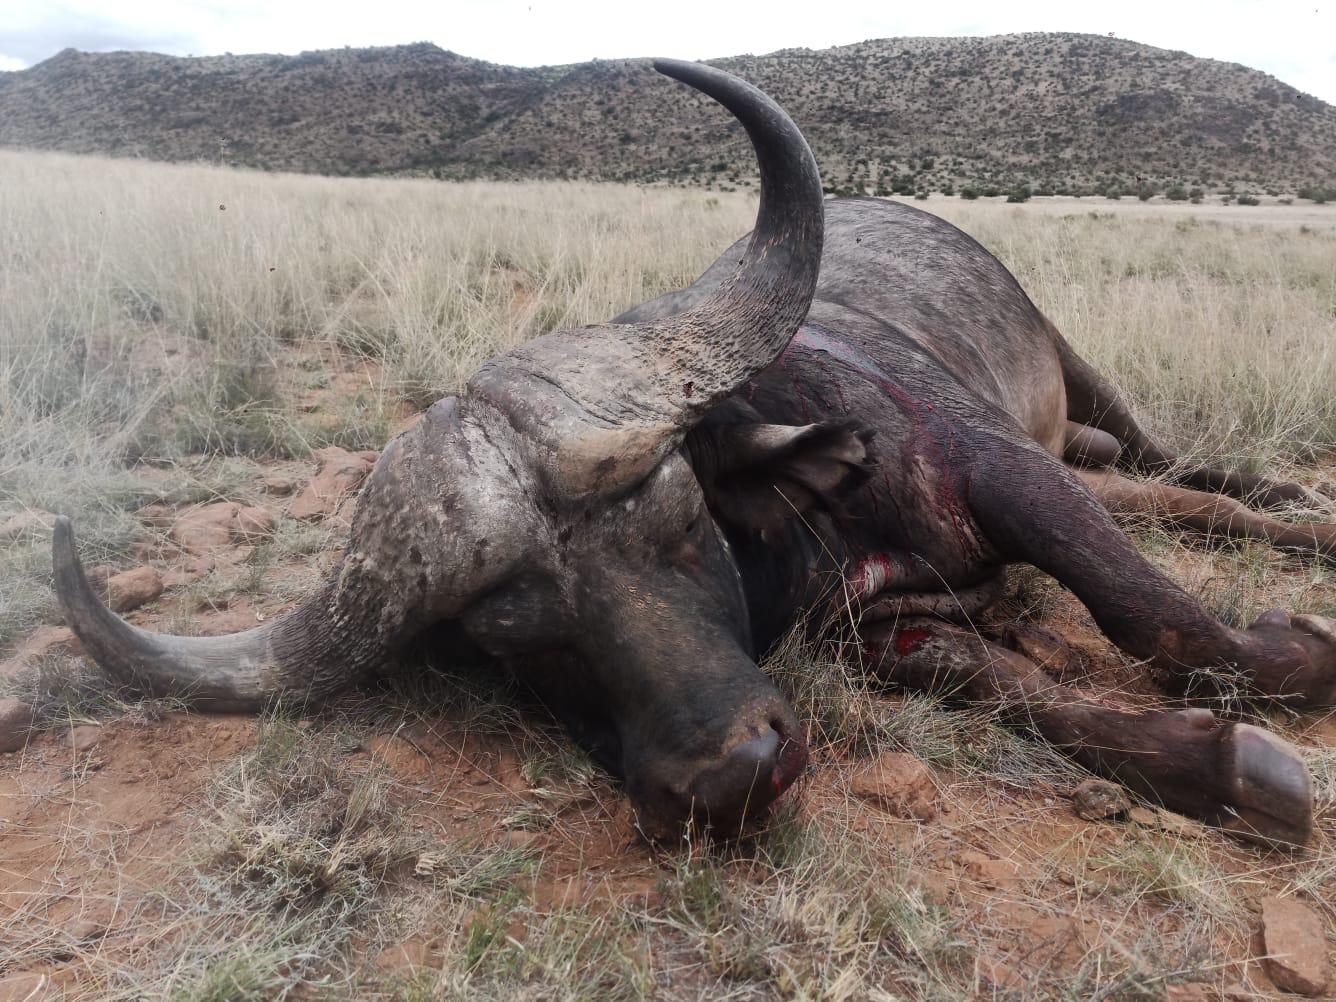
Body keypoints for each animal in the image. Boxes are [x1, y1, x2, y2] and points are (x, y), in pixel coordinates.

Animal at [53, 60, 1335, 847]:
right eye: (512, 640)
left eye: (675, 522)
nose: (726, 776)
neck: (809, 531)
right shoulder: (896, 634)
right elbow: (1024, 692)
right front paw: (1221, 764)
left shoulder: (1006, 473)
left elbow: (1153, 615)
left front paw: (1287, 663)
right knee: (1163, 496)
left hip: (1077, 376)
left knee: (1190, 481)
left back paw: (1289, 506)